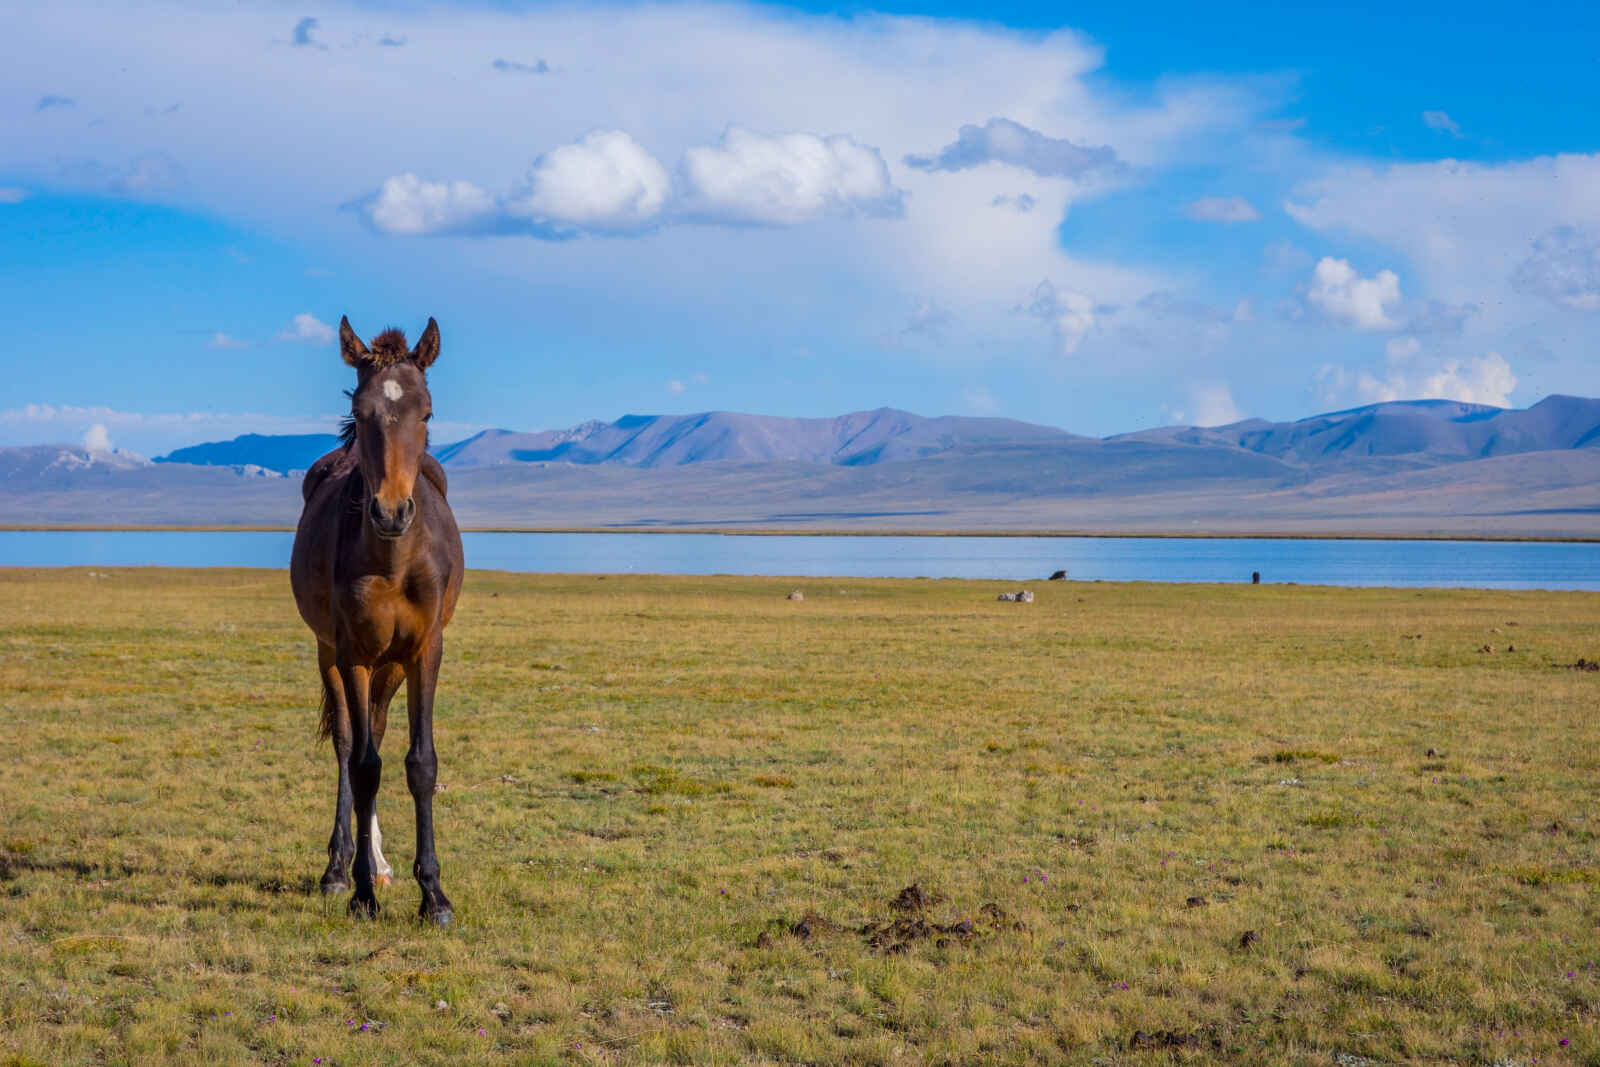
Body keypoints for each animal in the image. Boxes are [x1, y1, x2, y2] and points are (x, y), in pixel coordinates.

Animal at [290, 316, 464, 923]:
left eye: (427, 412)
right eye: (361, 411)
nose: (391, 512)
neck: (392, 559)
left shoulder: (425, 650)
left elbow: (420, 763)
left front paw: (433, 894)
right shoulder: (354, 654)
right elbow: (364, 767)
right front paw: (362, 892)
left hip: (392, 665)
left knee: (380, 735)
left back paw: (380, 861)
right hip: (332, 655)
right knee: (349, 745)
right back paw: (341, 867)